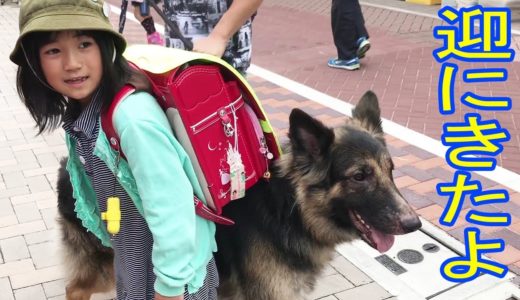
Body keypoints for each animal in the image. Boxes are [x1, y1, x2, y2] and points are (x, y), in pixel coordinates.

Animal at [58, 90, 422, 298]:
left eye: (391, 171)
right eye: (359, 176)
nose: (414, 224)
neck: (287, 214)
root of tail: (70, 165)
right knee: (74, 288)